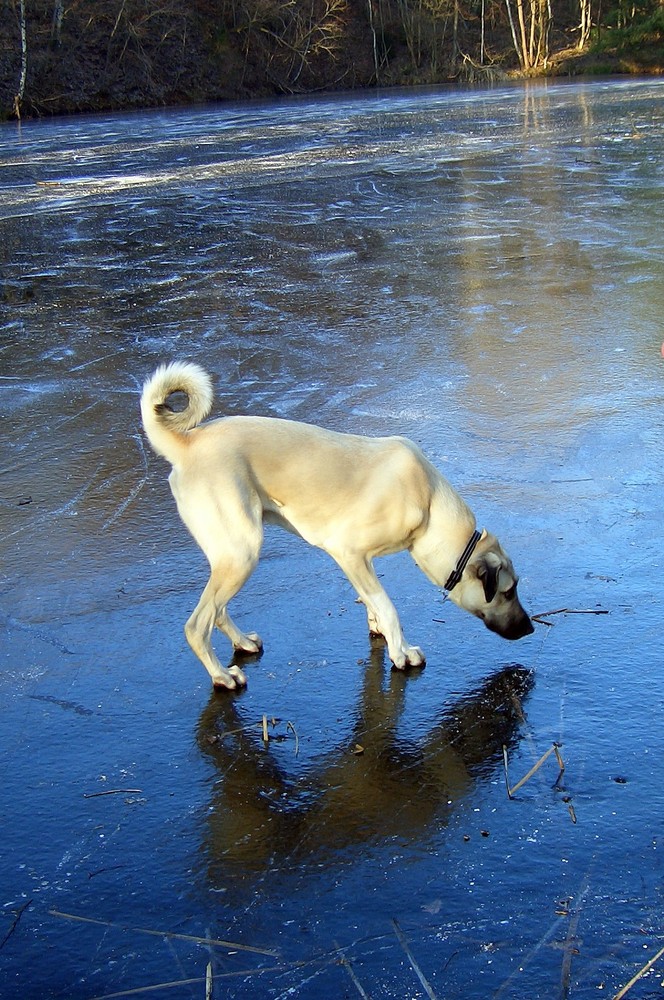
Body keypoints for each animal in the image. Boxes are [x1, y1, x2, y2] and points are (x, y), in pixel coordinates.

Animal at [140, 364, 536, 692]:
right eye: (508, 592)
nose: (531, 628)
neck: (429, 505)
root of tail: (187, 443)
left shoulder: (361, 562)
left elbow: (373, 600)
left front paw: (380, 629)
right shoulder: (348, 552)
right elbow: (388, 605)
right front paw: (401, 653)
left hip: (229, 555)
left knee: (217, 611)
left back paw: (242, 643)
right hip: (242, 554)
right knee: (197, 626)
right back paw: (222, 676)